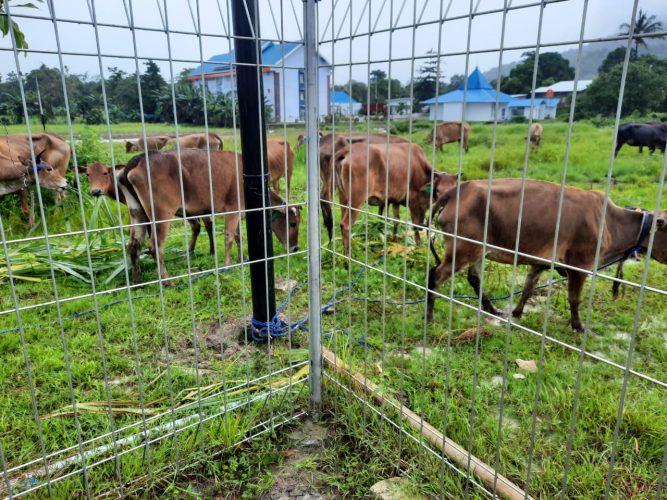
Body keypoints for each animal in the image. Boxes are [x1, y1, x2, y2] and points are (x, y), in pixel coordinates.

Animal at [78, 161, 214, 256]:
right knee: (205, 223)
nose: (96, 191)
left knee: (199, 224)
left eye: (105, 173)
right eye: (87, 174)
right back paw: (208, 251)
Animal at [117, 149, 300, 286]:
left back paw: (137, 281)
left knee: (134, 244)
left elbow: (239, 237)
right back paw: (167, 281)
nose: (296, 248)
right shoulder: (233, 209)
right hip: (161, 214)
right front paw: (228, 265)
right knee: (155, 246)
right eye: (292, 223)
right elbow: (229, 237)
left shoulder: (238, 212)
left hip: (137, 212)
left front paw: (241, 258)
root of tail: (140, 158)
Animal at [428, 178, 667, 330]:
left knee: (474, 279)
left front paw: (517, 312)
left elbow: (528, 288)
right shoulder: (579, 264)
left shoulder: (541, 261)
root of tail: (457, 190)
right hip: (463, 249)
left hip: (477, 251)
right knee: (435, 275)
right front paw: (578, 326)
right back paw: (429, 316)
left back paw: (492, 309)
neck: (610, 222)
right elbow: (574, 298)